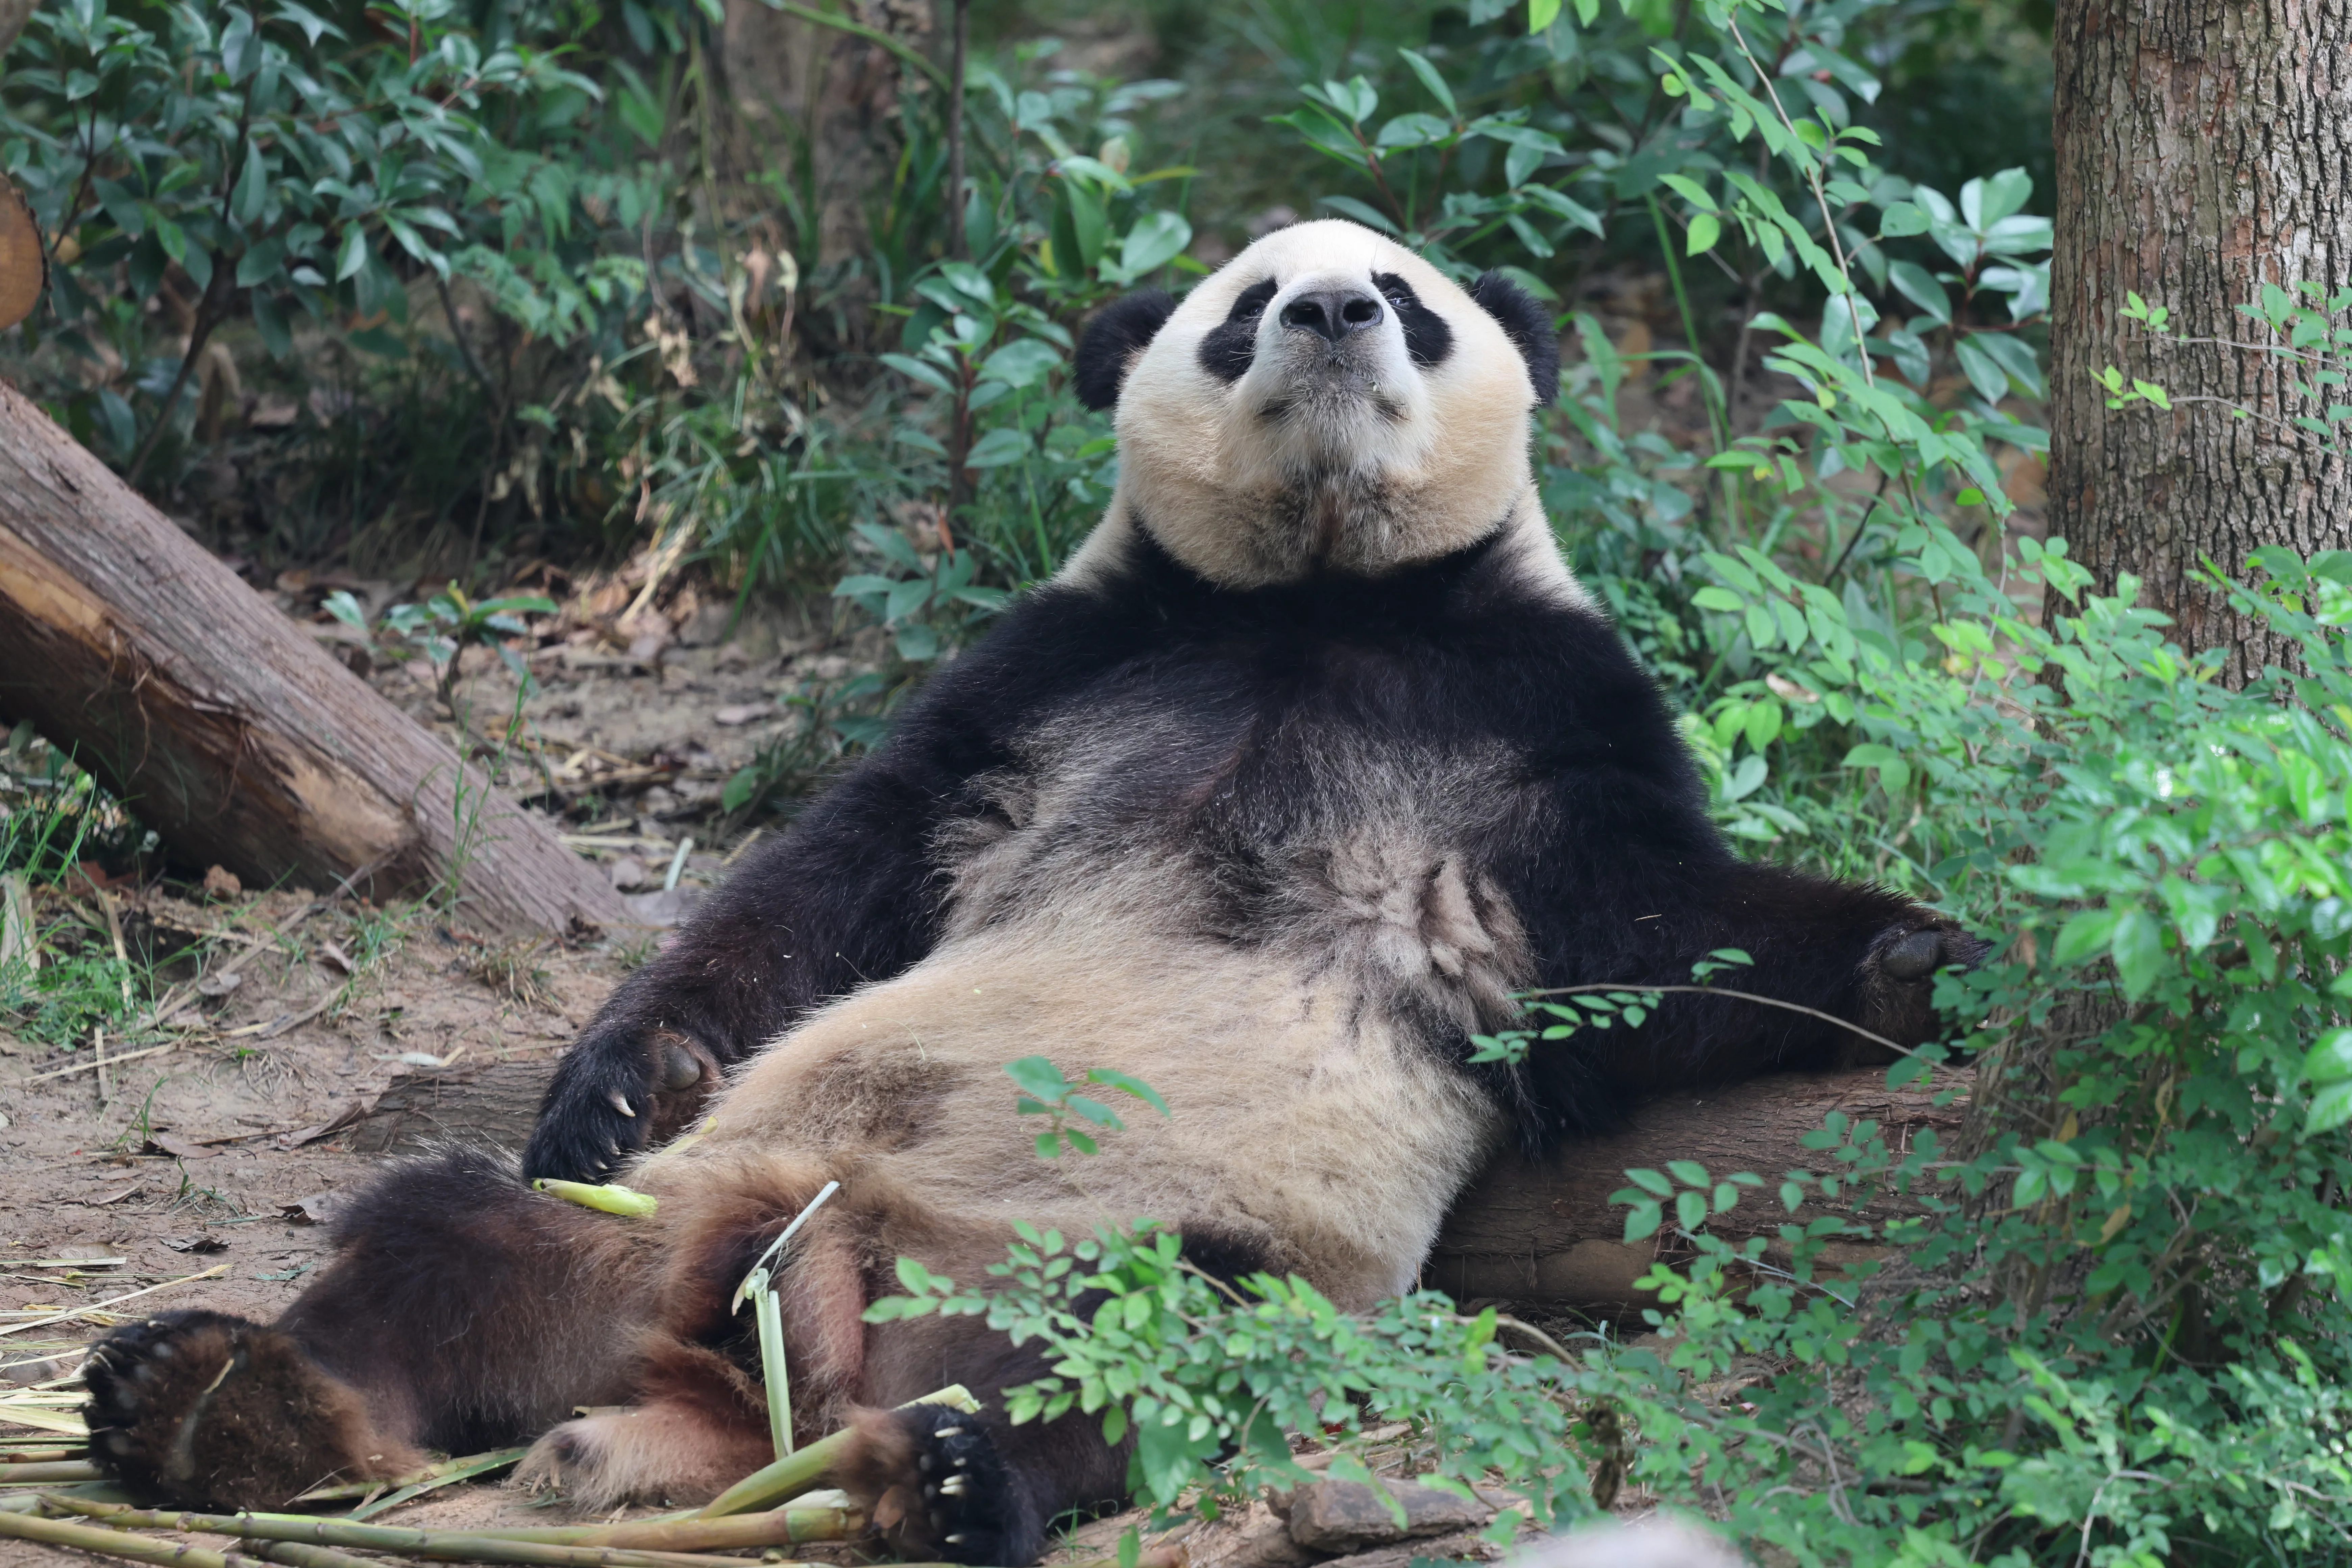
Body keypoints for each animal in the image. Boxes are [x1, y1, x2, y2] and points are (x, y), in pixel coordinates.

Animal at [82, 219, 1981, 1563]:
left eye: (1406, 297)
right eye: (1247, 303)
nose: (1332, 318)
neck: (1319, 595)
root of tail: (785, 1334)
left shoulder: (1539, 708)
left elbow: (1656, 931)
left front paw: (1924, 958)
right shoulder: (1055, 665)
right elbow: (833, 871)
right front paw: (619, 1075)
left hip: (1157, 1246)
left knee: (1141, 1355)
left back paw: (946, 1483)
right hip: (651, 1225)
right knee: (441, 1238)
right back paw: (216, 1404)